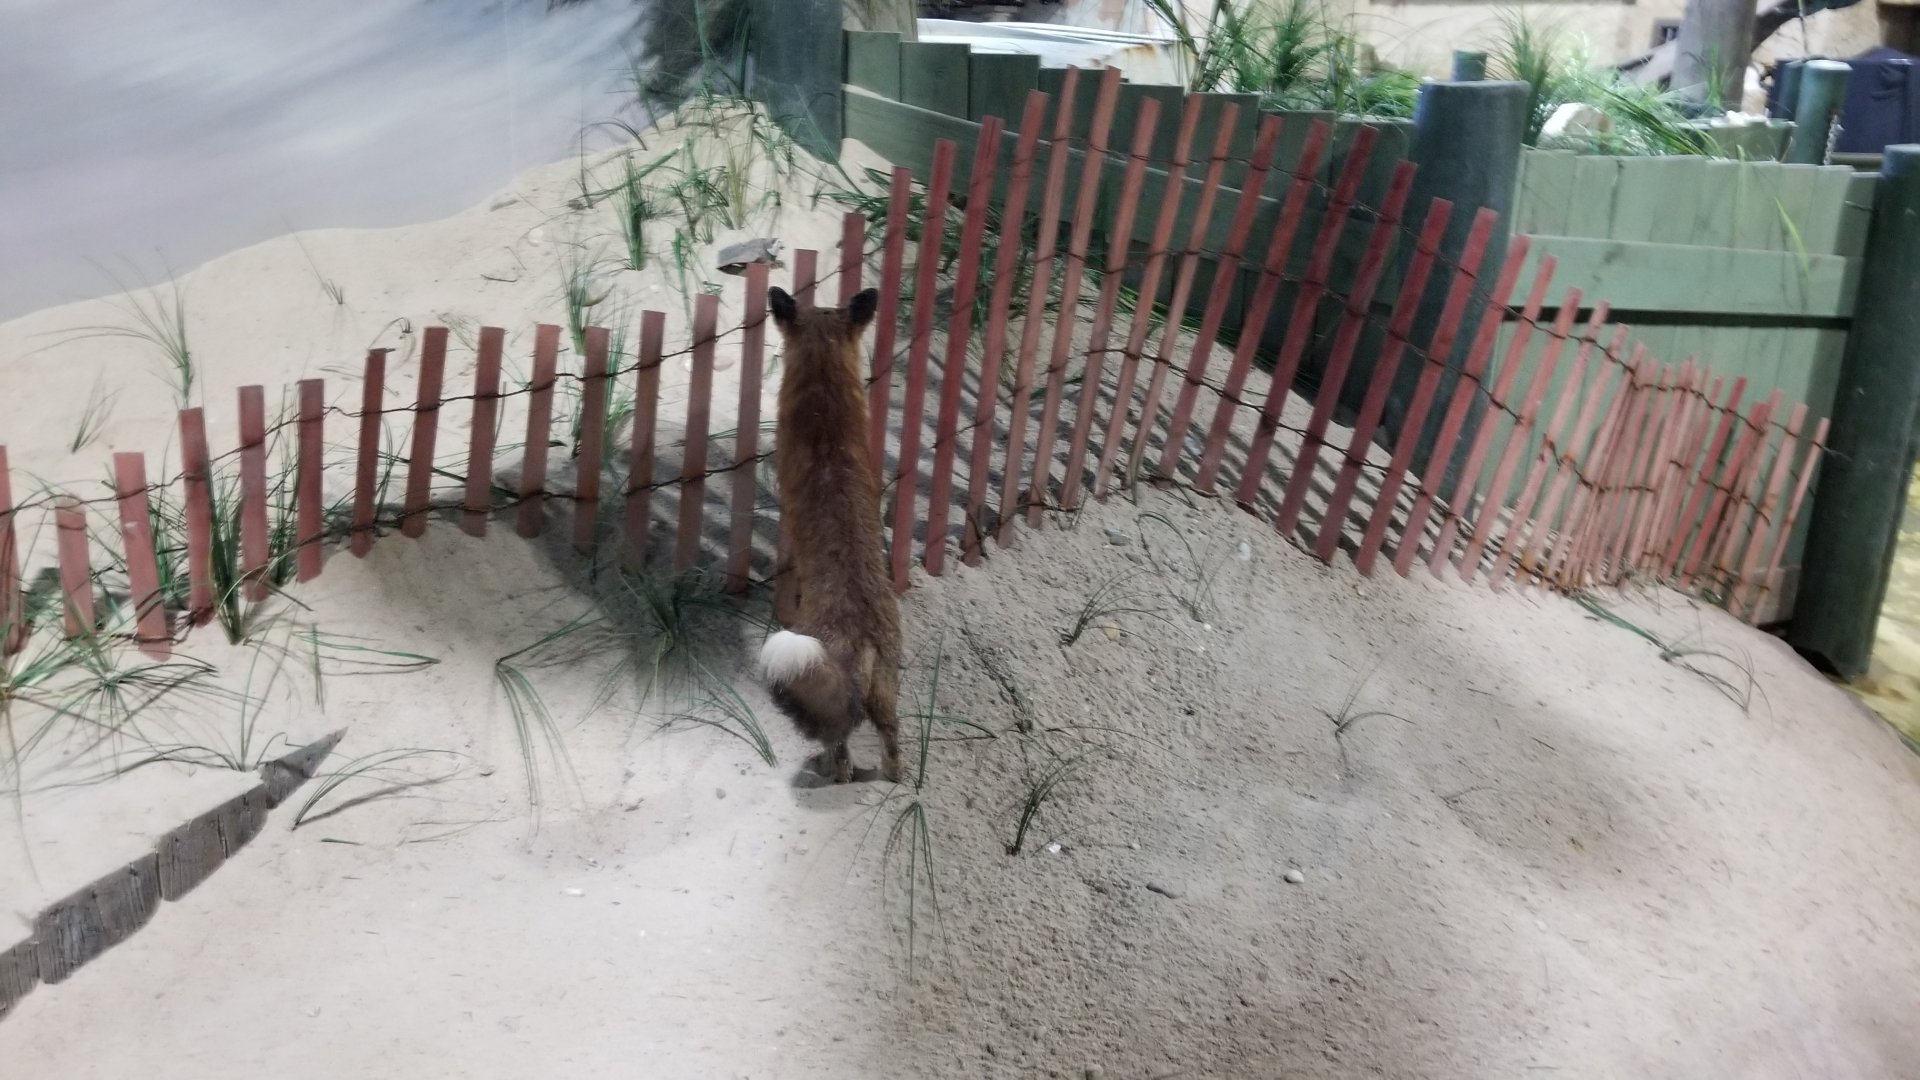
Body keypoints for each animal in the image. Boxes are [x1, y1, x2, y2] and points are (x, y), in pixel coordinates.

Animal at [757, 285, 904, 784]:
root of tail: (861, 637)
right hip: (887, 691)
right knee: (893, 748)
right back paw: (895, 781)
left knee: (840, 751)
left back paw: (830, 771)